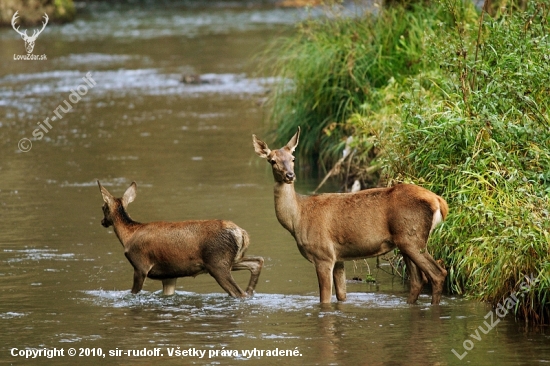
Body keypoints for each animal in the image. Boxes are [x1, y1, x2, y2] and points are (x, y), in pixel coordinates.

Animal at [98, 180, 266, 298]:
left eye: (103, 207)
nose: (102, 222)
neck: (129, 234)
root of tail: (241, 233)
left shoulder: (141, 266)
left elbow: (134, 292)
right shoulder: (169, 275)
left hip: (218, 262)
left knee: (238, 292)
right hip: (230, 259)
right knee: (257, 261)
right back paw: (251, 290)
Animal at [254, 127, 448, 304]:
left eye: (293, 159)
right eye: (272, 161)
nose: (290, 175)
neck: (297, 219)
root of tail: (439, 201)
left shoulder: (323, 254)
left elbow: (324, 299)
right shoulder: (338, 258)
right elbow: (341, 295)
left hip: (412, 237)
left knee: (438, 274)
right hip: (405, 241)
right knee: (417, 280)